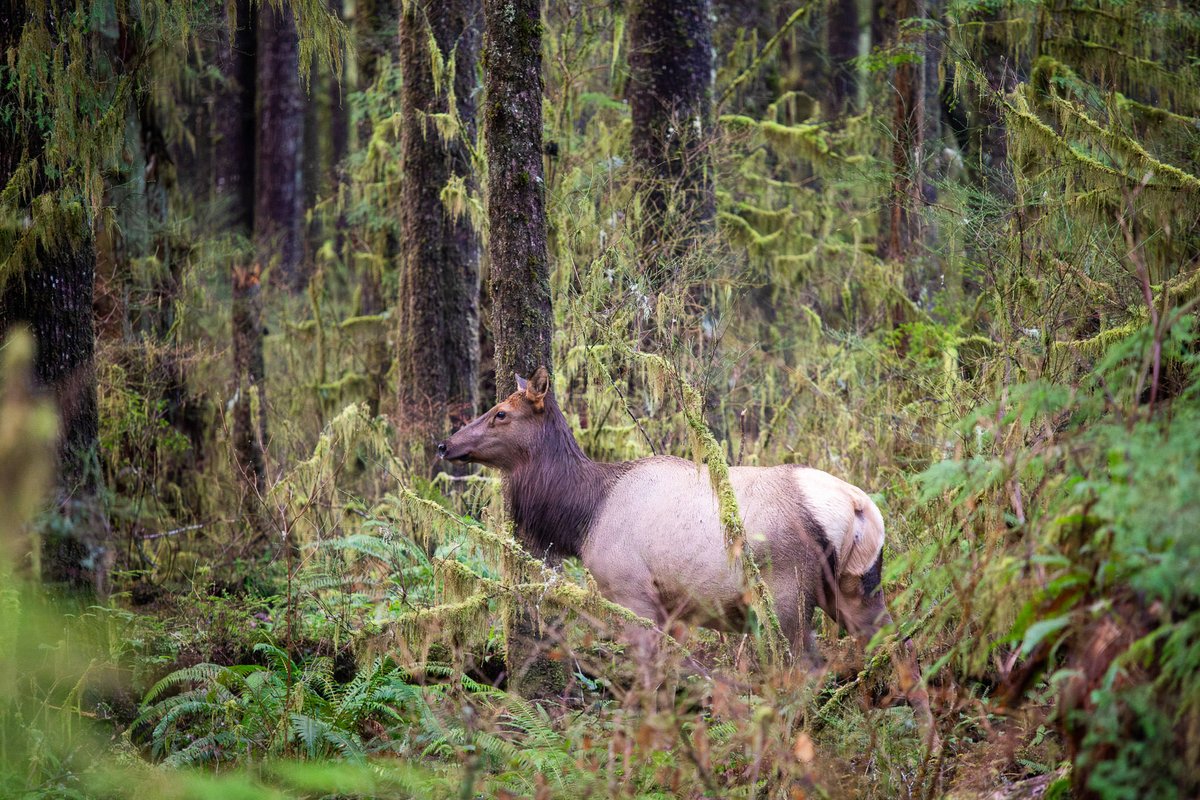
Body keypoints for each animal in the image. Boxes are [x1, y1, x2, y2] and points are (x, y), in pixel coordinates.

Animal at [437, 367, 936, 743]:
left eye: (500, 413)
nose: (446, 443)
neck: (582, 518)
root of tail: (859, 506)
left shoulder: (632, 593)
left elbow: (648, 683)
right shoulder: (673, 607)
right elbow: (670, 682)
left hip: (786, 590)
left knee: (808, 668)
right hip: (857, 585)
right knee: (902, 645)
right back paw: (925, 739)